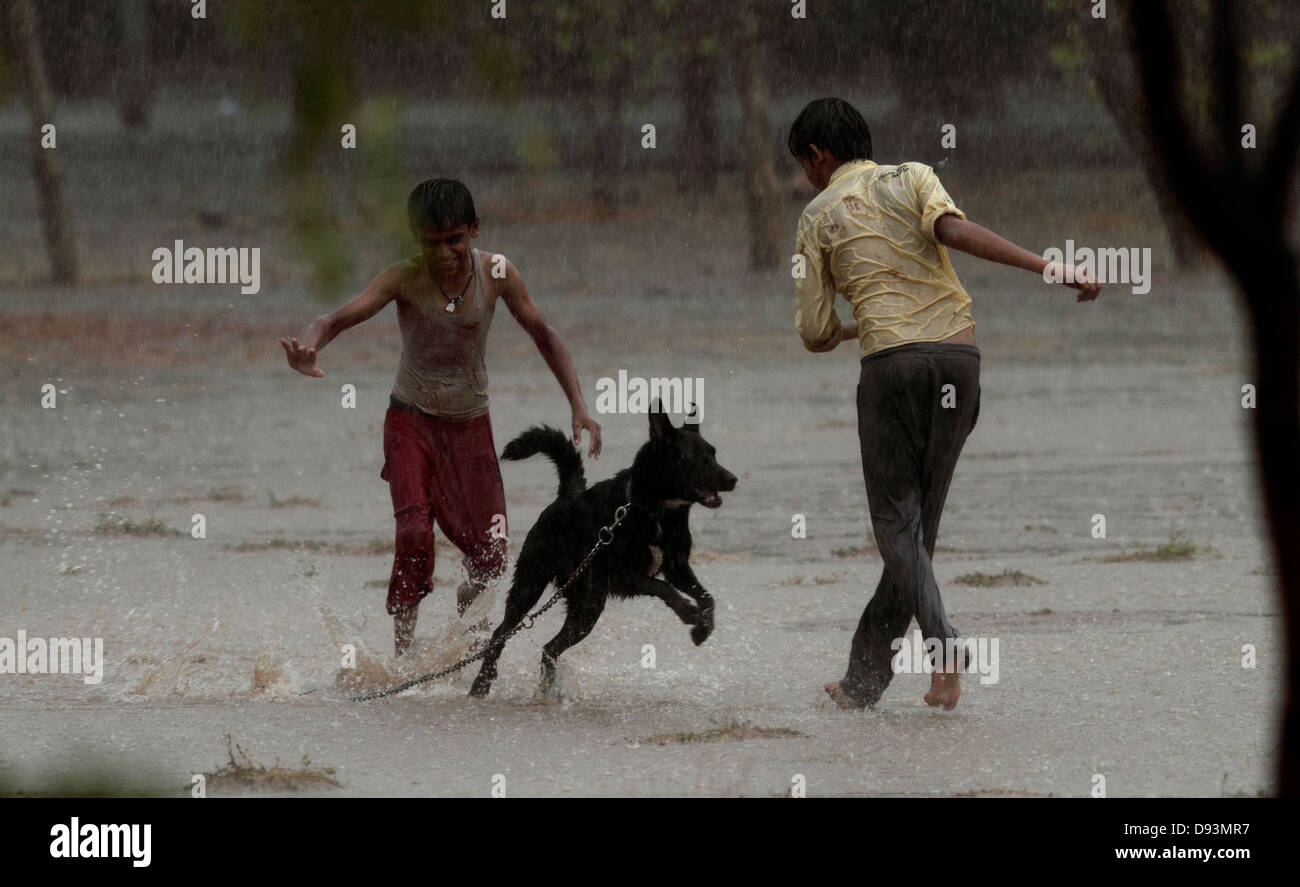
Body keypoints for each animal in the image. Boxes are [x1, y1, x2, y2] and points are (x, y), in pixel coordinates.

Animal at [467, 405, 738, 697]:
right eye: (693, 457)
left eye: (713, 453)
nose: (732, 479)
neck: (651, 508)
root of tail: (566, 495)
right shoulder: (625, 577)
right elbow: (664, 588)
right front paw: (688, 612)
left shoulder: (678, 568)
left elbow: (707, 597)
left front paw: (703, 627)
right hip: (531, 586)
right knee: (500, 634)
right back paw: (481, 684)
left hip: (587, 606)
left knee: (550, 648)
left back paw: (549, 688)